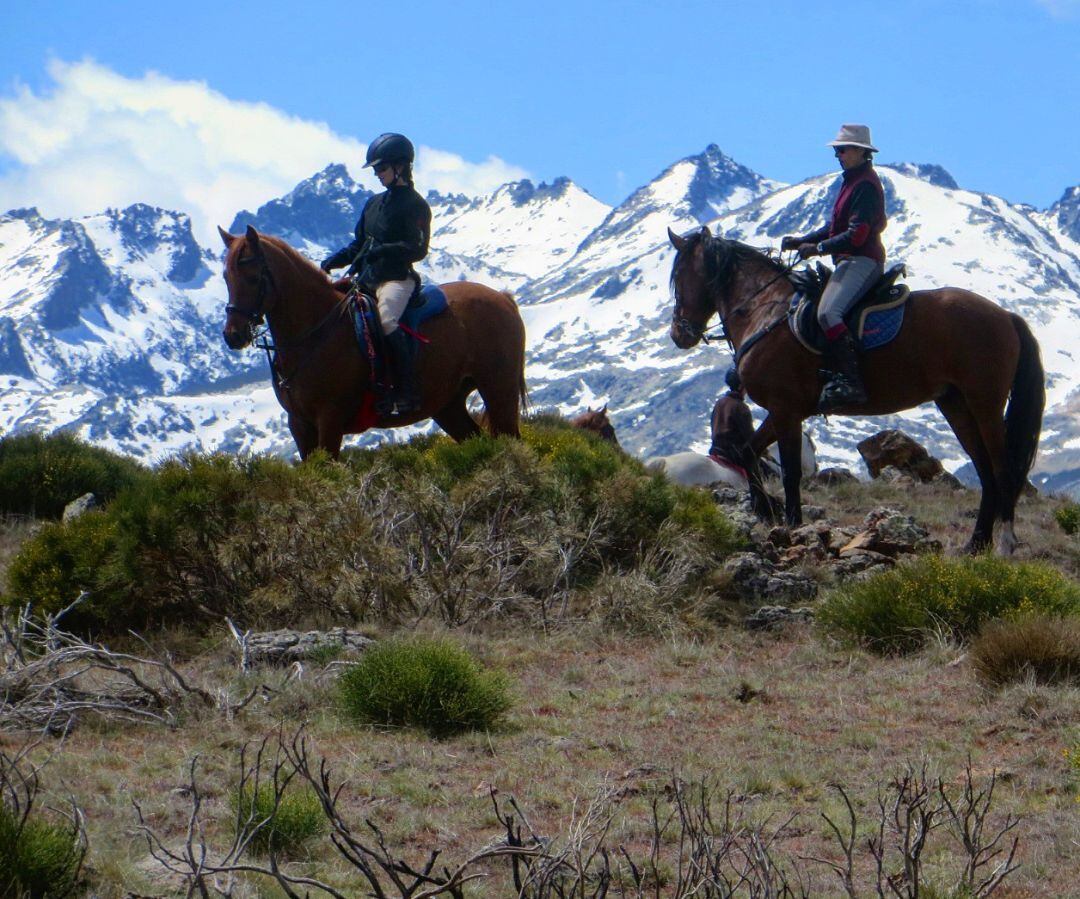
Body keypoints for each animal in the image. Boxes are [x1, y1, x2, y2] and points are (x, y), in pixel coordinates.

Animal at [219, 226, 527, 455]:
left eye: (252, 276)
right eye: (226, 276)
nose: (233, 335)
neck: (314, 333)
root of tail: (503, 298)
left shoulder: (329, 419)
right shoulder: (300, 425)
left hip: (499, 389)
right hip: (448, 405)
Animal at [665, 226, 1045, 553]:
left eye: (679, 277)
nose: (678, 334)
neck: (765, 310)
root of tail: (1006, 316)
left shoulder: (786, 409)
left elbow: (789, 473)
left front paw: (792, 525)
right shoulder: (785, 411)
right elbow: (747, 453)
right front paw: (765, 510)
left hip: (985, 404)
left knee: (1003, 470)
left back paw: (1005, 544)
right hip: (957, 405)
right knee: (986, 472)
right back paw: (975, 544)